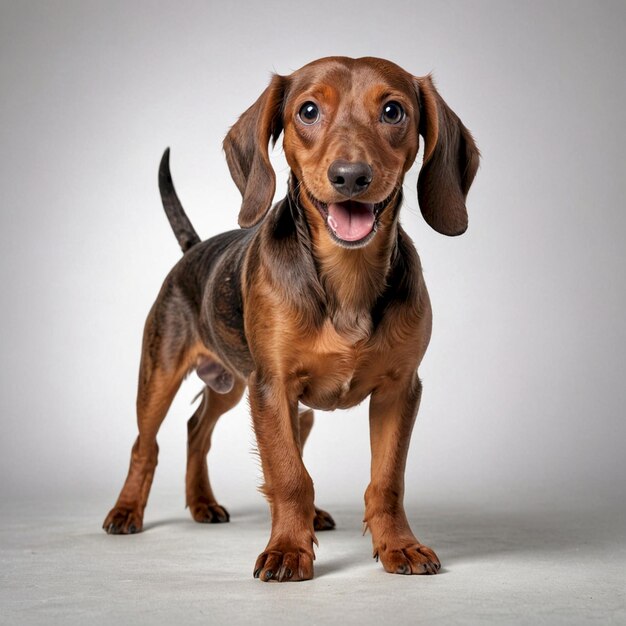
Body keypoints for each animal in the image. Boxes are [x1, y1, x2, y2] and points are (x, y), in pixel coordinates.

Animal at [102, 56, 476, 576]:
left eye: (393, 111)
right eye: (309, 110)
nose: (350, 176)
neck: (346, 277)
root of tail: (193, 250)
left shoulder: (398, 390)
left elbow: (386, 480)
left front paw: (398, 545)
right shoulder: (272, 386)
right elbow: (288, 474)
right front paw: (287, 550)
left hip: (237, 384)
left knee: (198, 428)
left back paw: (204, 503)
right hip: (163, 373)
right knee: (146, 443)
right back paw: (126, 511)